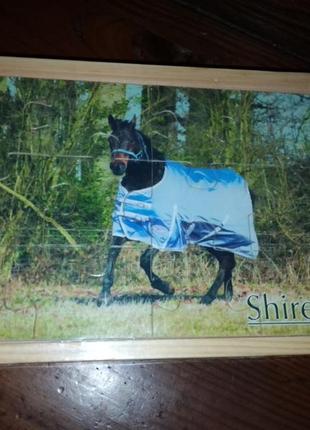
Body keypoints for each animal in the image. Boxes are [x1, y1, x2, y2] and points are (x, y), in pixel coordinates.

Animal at [97, 114, 247, 306]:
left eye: (130, 140)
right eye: (111, 140)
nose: (117, 166)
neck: (147, 183)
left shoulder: (166, 231)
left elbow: (145, 260)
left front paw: (168, 288)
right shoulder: (126, 225)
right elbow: (112, 254)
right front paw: (104, 296)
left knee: (227, 262)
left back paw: (208, 297)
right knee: (228, 261)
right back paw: (226, 294)